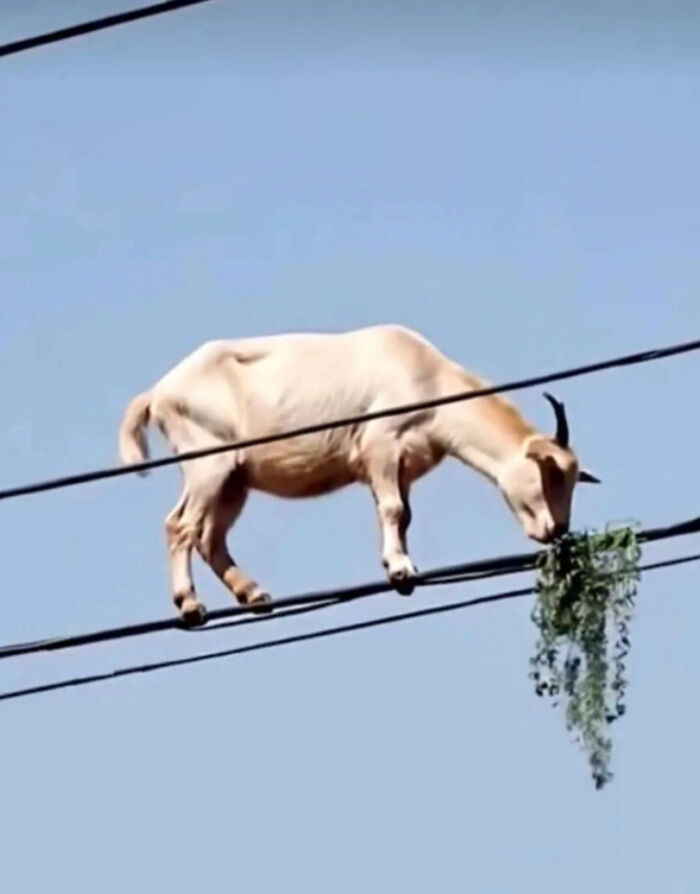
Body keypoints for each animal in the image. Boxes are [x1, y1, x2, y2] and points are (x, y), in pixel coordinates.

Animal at [119, 325, 599, 624]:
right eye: (552, 473)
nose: (557, 528)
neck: (433, 384)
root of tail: (158, 394)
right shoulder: (380, 443)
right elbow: (392, 509)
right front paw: (400, 569)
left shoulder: (400, 466)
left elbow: (403, 514)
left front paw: (401, 569)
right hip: (209, 461)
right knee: (180, 526)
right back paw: (189, 605)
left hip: (234, 478)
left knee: (209, 536)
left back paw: (253, 595)